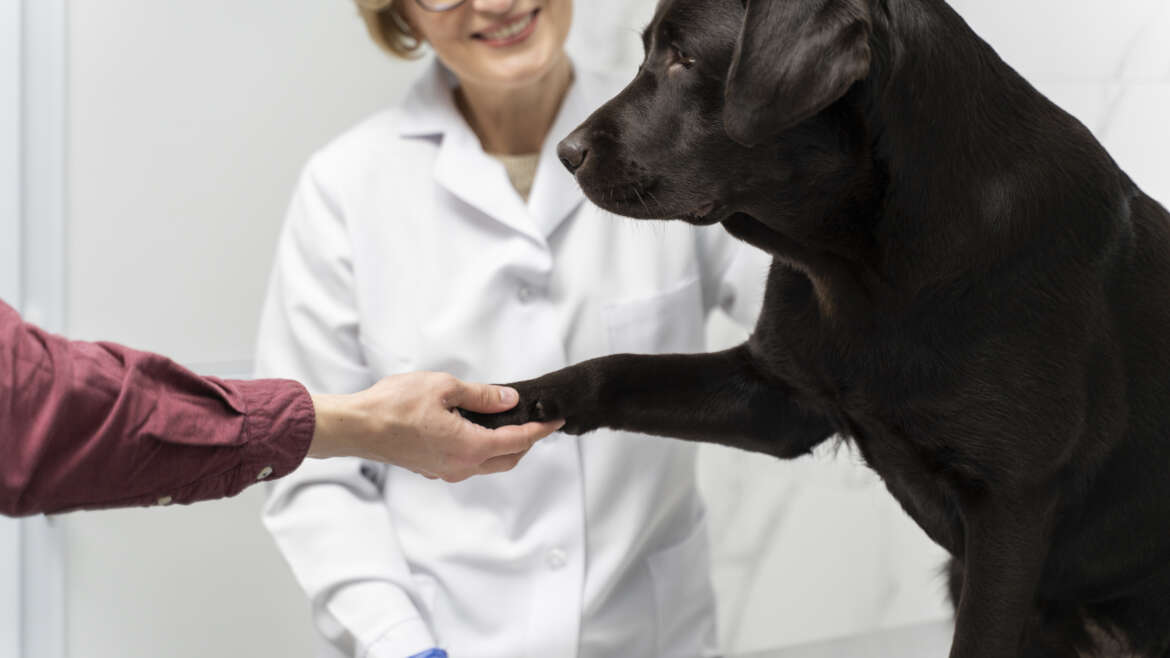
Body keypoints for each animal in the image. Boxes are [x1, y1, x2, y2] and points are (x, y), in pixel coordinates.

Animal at [463, 1, 1170, 650]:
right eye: (647, 54)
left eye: (685, 58)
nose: (565, 152)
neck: (866, 268)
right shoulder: (779, 400)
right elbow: (615, 370)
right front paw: (509, 403)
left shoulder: (1010, 504)